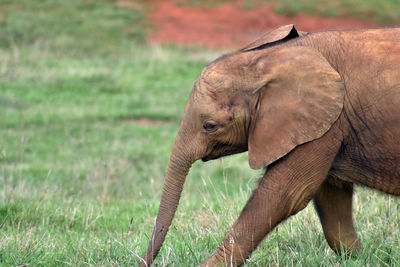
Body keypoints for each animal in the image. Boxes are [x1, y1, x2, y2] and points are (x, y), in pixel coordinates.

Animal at [141, 24, 400, 266]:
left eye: (210, 126)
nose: (142, 261)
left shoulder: (323, 121)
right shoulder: (328, 124)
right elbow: (331, 197)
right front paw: (360, 259)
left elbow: (285, 194)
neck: (272, 59)